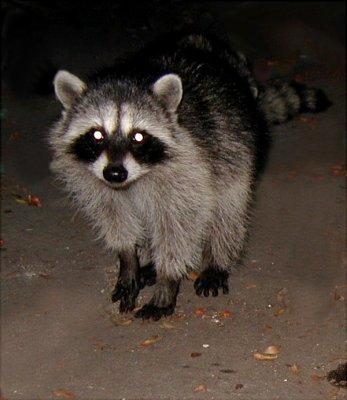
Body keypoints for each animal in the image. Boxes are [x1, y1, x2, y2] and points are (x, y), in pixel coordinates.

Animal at [49, 32, 332, 320]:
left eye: (138, 136)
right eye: (97, 134)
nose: (115, 173)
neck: (135, 178)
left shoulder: (189, 168)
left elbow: (180, 226)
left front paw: (167, 279)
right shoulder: (98, 181)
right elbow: (113, 216)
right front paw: (128, 261)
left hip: (232, 145)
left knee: (228, 207)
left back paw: (216, 259)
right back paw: (150, 263)